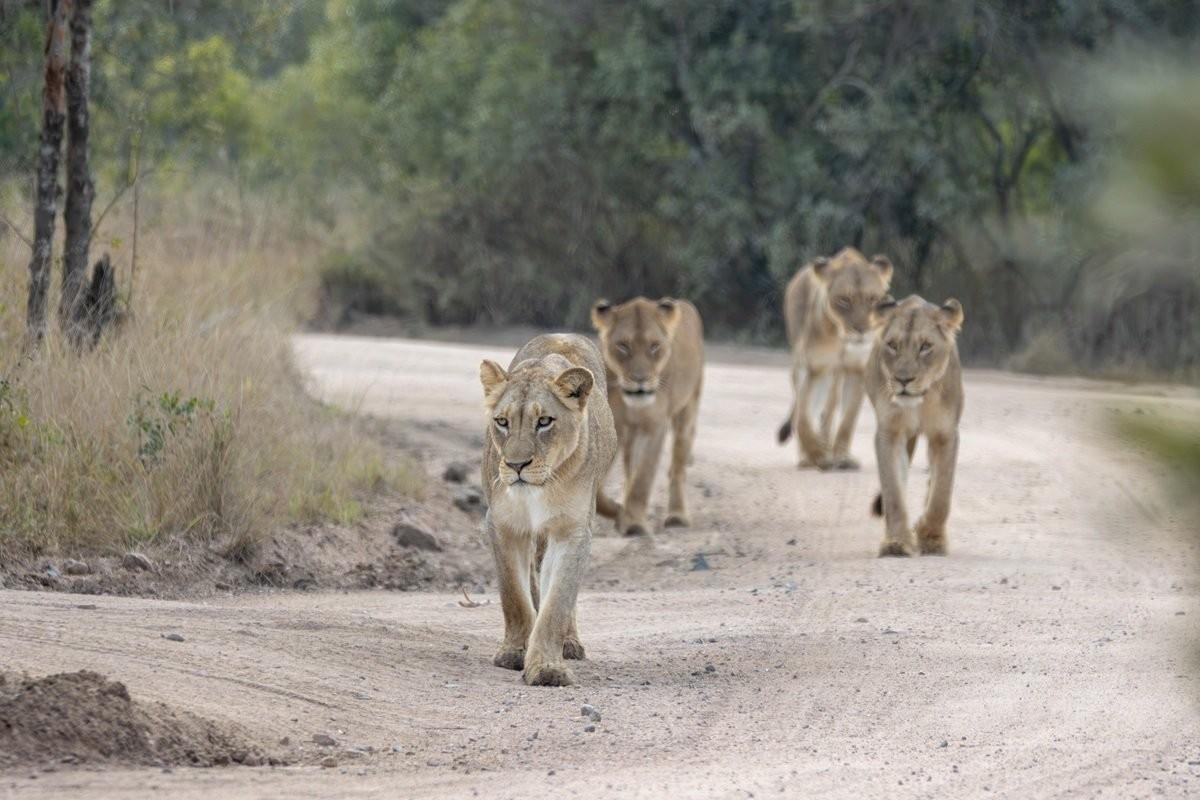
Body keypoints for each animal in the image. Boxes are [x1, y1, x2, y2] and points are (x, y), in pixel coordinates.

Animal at [479, 334, 617, 686]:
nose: (516, 465)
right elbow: (514, 595)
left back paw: (570, 643)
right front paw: (514, 653)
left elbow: (557, 604)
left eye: (544, 422)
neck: (540, 489)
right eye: (502, 422)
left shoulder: (572, 530)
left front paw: (546, 667)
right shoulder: (502, 524)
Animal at [590, 297, 704, 537]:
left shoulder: (655, 426)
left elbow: (643, 476)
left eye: (654, 346)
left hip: (687, 412)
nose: (640, 380)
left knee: (677, 466)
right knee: (629, 468)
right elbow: (601, 485)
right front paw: (618, 510)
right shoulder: (615, 426)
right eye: (623, 346)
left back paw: (677, 516)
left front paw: (634, 523)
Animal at [778, 247, 893, 470]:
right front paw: (816, 455)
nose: (862, 330)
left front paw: (841, 457)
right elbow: (803, 414)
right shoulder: (816, 367)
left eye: (873, 299)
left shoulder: (857, 369)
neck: (842, 339)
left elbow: (848, 418)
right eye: (844, 300)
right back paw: (809, 456)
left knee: (829, 411)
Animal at [865, 295, 965, 557]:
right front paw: (896, 543)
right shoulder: (889, 432)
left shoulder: (945, 434)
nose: (903, 380)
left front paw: (931, 539)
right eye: (892, 345)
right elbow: (893, 493)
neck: (921, 401)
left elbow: (941, 495)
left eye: (926, 346)